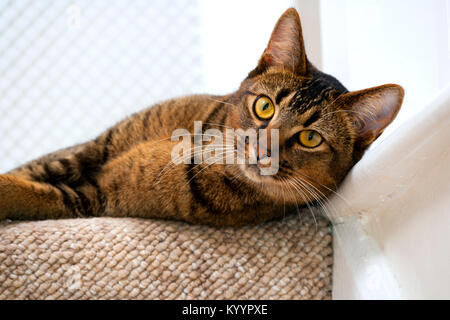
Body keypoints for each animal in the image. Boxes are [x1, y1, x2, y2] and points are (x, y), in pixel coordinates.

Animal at [0, 8, 404, 226]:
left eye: (310, 138)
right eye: (264, 107)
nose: (262, 150)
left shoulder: (92, 197)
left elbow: (28, 192)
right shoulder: (94, 148)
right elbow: (30, 171)